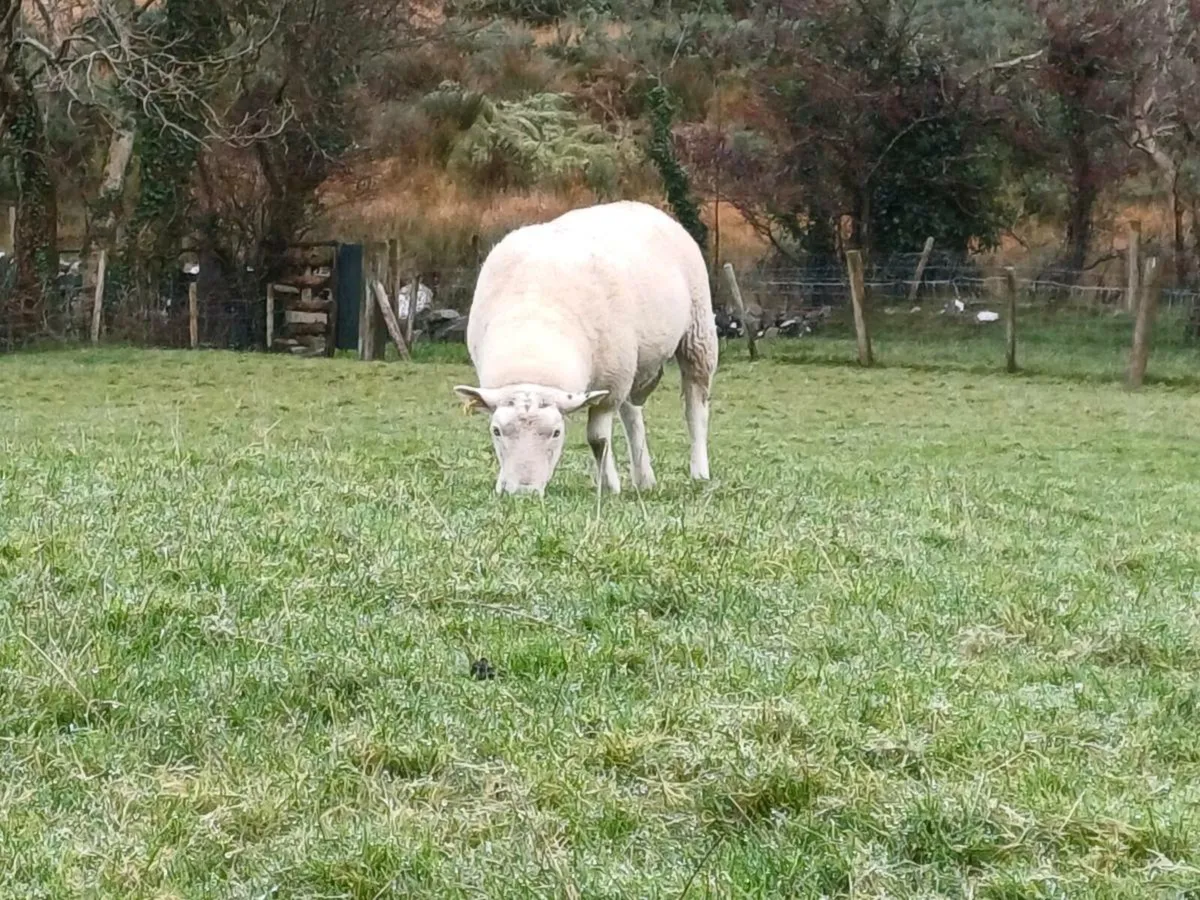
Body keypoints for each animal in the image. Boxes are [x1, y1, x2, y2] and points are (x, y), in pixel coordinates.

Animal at [453, 200, 718, 497]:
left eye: (557, 433)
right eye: (496, 431)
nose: (523, 493)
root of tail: (637, 205)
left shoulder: (611, 387)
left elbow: (597, 438)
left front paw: (609, 487)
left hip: (698, 332)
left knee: (696, 407)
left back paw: (699, 473)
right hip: (634, 361)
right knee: (632, 415)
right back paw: (644, 478)